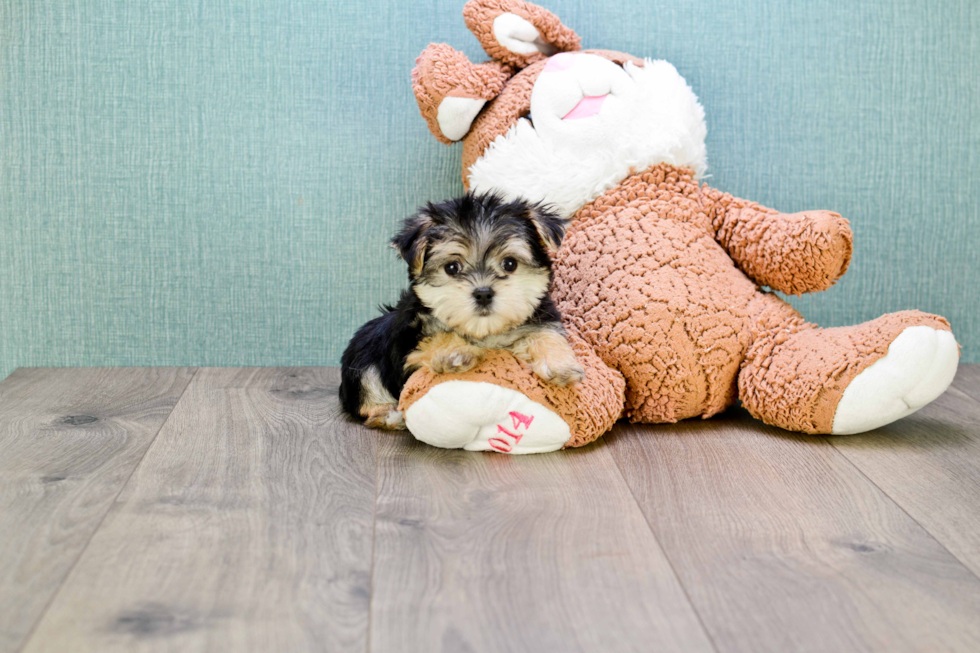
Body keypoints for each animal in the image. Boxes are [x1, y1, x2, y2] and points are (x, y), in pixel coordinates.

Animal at [338, 191, 580, 430]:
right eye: (452, 267)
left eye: (510, 264)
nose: (483, 293)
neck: (482, 331)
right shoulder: (407, 342)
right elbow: (434, 338)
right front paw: (454, 352)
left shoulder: (541, 316)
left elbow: (546, 332)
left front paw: (560, 363)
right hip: (362, 355)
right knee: (367, 389)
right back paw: (389, 415)